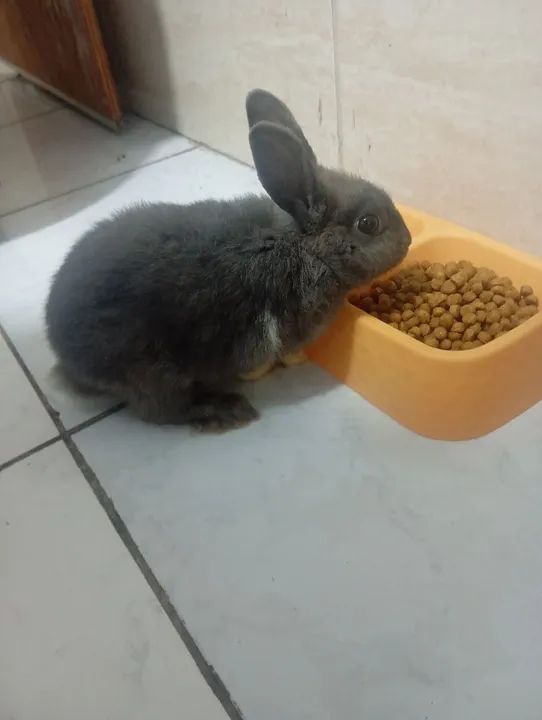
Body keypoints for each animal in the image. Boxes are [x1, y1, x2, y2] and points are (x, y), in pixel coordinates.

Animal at [46, 89, 411, 431]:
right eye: (368, 224)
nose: (408, 240)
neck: (302, 249)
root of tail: (62, 351)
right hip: (149, 370)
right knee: (161, 410)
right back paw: (226, 411)